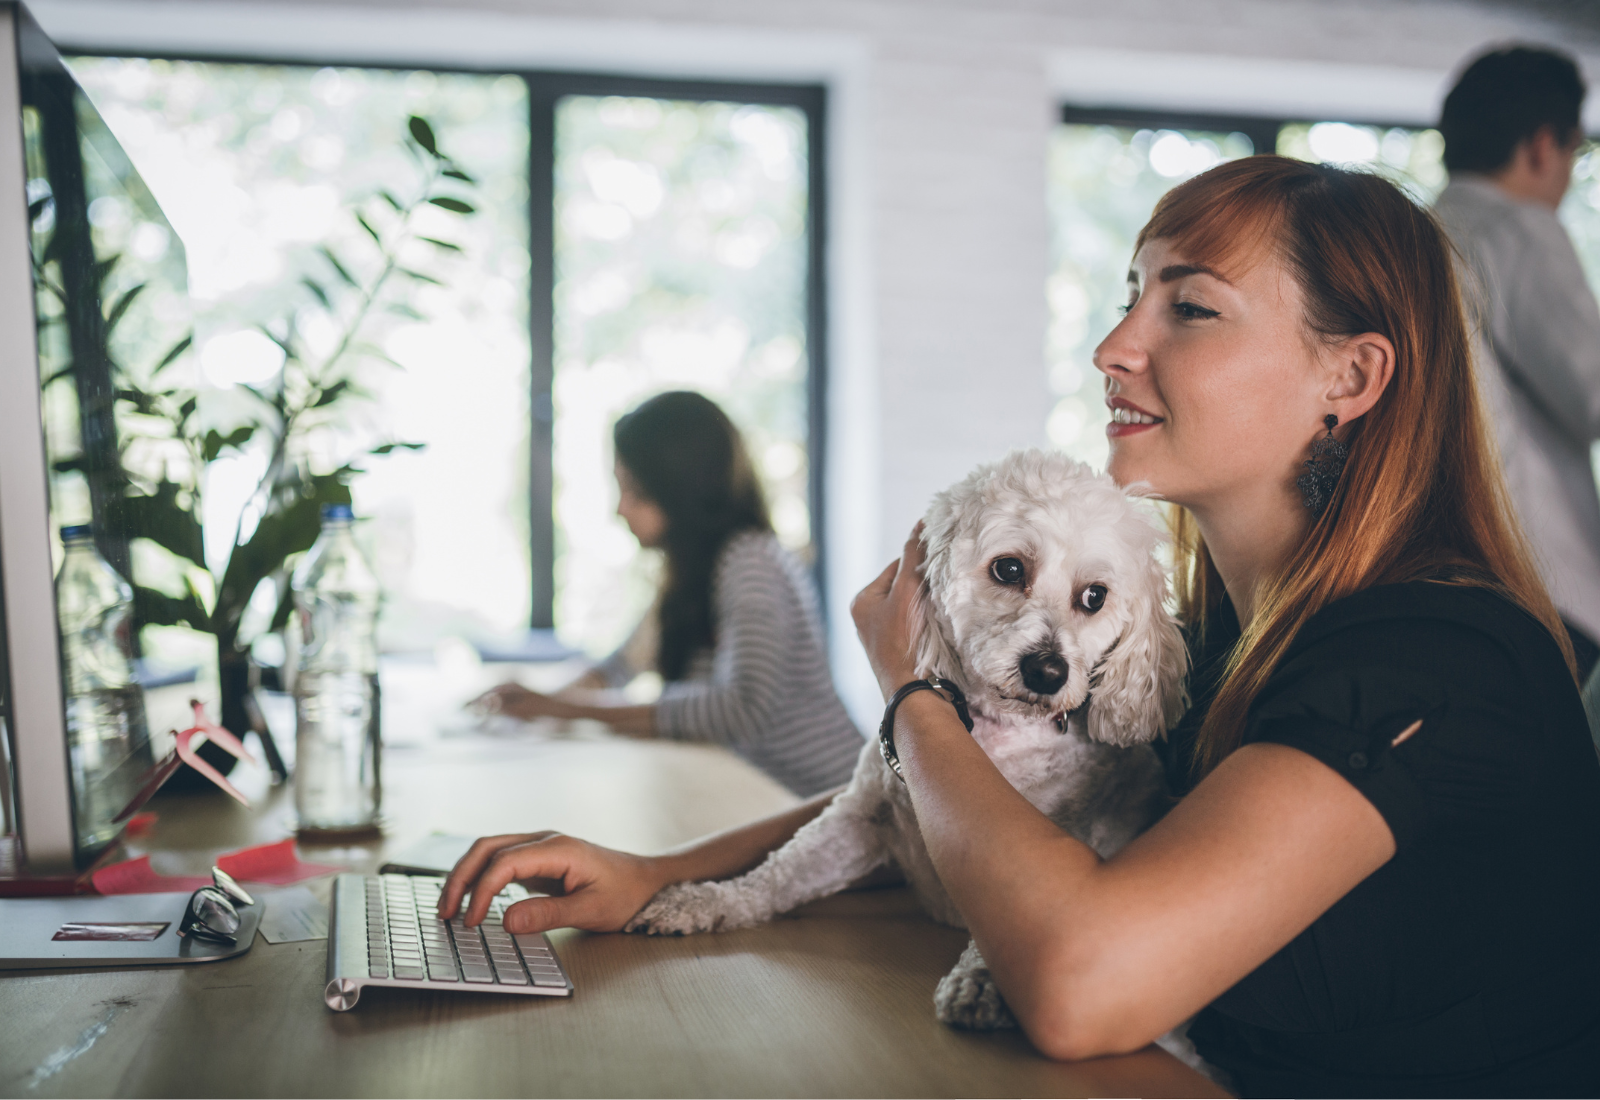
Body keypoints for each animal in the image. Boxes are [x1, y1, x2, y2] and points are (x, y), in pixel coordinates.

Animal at [624, 447, 1190, 1029]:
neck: (991, 733)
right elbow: (780, 872)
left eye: (1094, 596)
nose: (1049, 672)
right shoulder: (861, 818)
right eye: (1009, 568)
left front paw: (981, 983)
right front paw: (708, 901)